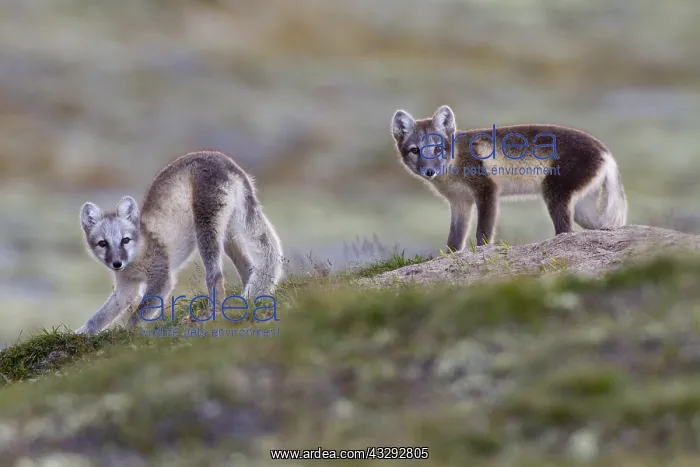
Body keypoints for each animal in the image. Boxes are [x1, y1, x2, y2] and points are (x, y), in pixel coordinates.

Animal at [75, 150, 284, 334]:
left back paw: (213, 313)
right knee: (248, 266)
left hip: (206, 226)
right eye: (102, 243)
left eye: (125, 240)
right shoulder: (126, 287)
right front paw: (82, 332)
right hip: (229, 232)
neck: (138, 254)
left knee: (215, 275)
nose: (117, 263)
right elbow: (100, 316)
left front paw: (129, 333)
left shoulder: (162, 278)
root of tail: (226, 162)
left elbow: (138, 314)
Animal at [390, 105, 628, 251]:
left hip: (555, 193)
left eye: (438, 148)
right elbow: (455, 240)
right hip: (582, 209)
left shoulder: (487, 191)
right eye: (414, 150)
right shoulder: (460, 202)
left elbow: (483, 232)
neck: (455, 161)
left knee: (566, 231)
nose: (429, 172)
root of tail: (605, 151)